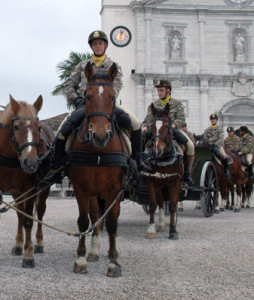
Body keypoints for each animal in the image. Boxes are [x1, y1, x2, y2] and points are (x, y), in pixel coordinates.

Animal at [0, 95, 54, 268]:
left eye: (38, 127)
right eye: (16, 127)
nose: (30, 163)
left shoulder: (30, 189)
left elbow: (29, 220)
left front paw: (28, 255)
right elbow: (22, 216)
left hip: (43, 187)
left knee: (40, 212)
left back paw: (38, 243)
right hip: (16, 192)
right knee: (19, 214)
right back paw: (18, 245)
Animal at [66, 62, 130, 276]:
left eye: (112, 97)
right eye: (87, 96)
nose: (100, 136)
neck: (98, 152)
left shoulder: (114, 190)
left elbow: (111, 222)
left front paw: (113, 262)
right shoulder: (80, 189)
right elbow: (83, 221)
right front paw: (80, 259)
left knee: (113, 220)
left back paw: (113, 251)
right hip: (94, 193)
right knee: (95, 216)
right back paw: (93, 251)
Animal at [143, 103, 183, 239]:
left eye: (166, 126)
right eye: (152, 126)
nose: (157, 150)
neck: (163, 158)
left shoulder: (175, 181)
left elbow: (172, 205)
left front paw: (173, 231)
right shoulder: (151, 180)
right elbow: (152, 204)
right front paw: (151, 229)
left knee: (173, 202)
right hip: (159, 184)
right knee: (160, 202)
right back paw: (160, 224)